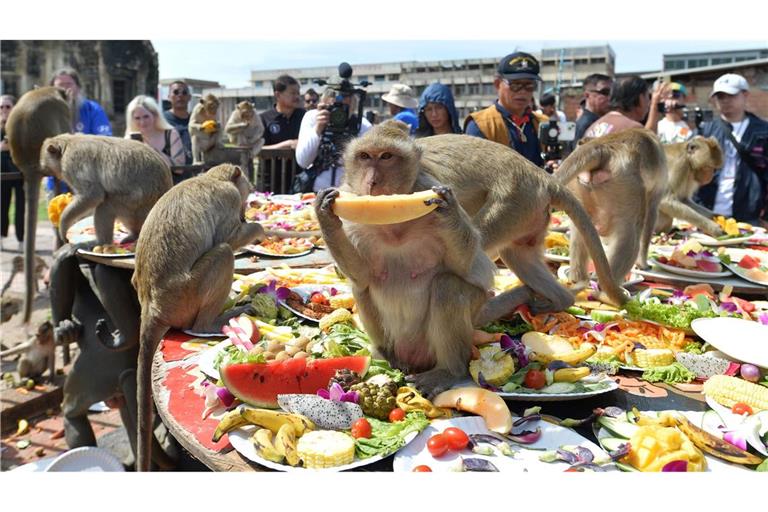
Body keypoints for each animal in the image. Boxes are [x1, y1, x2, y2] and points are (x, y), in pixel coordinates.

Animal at [40, 134, 172, 248]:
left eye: (45, 165)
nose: (45, 173)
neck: (68, 144)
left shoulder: (72, 163)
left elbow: (93, 195)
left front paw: (63, 224)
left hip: (137, 202)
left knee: (106, 206)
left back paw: (100, 242)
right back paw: (134, 235)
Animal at [136, 164, 268, 472]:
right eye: (246, 191)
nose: (247, 211)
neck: (210, 177)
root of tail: (151, 306)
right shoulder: (230, 198)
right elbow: (230, 238)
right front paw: (260, 228)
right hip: (187, 296)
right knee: (224, 252)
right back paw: (211, 322)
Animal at [316, 121, 532, 400]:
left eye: (386, 157)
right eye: (364, 156)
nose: (372, 181)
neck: (393, 224)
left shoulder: (429, 184)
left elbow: (466, 267)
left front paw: (448, 210)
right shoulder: (351, 206)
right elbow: (361, 274)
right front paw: (325, 215)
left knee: (448, 287)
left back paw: (448, 371)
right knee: (362, 288)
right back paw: (384, 358)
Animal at [552, 128, 664, 288]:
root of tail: (602, 147)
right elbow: (651, 215)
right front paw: (643, 264)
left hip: (582, 186)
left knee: (581, 229)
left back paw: (578, 279)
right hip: (627, 184)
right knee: (631, 233)